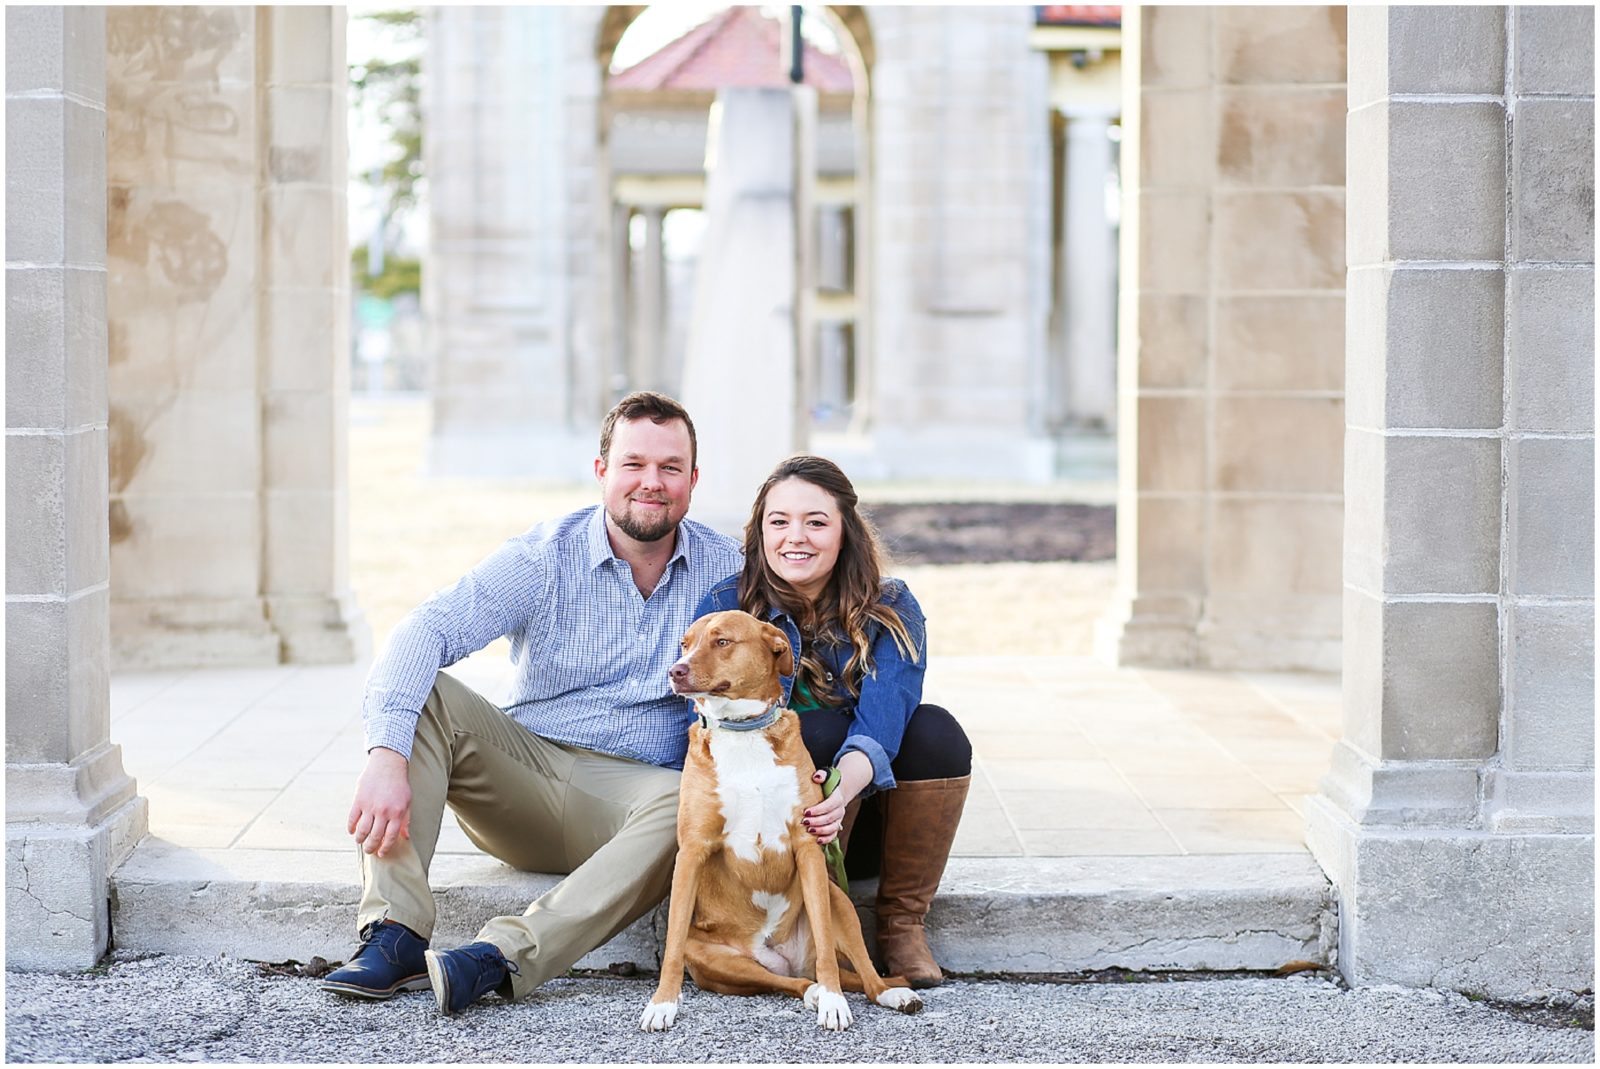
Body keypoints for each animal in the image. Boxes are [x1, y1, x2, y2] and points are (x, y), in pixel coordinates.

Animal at [633, 614, 921, 1030]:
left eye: (722, 641)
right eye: (684, 644)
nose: (675, 671)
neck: (743, 731)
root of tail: (787, 958)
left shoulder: (809, 848)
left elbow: (828, 948)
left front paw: (835, 1001)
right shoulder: (691, 853)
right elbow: (671, 945)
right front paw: (662, 1004)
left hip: (838, 901)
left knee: (862, 974)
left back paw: (886, 993)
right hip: (717, 960)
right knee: (788, 983)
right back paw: (813, 992)